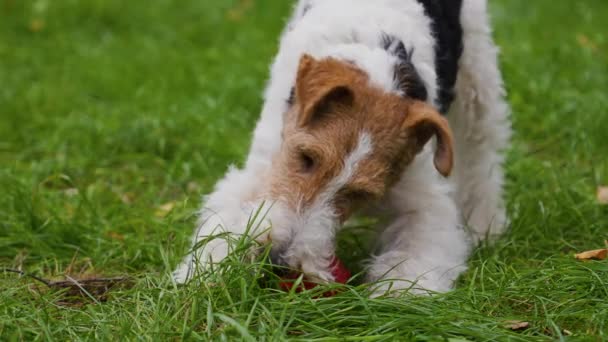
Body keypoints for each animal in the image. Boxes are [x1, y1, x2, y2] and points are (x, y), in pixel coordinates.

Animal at [173, 0, 510, 294]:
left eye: (361, 193)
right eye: (306, 157)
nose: (278, 260)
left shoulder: (422, 197)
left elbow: (418, 253)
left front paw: (401, 297)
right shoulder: (264, 165)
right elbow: (224, 221)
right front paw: (200, 276)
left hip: (477, 79)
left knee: (481, 157)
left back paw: (485, 226)